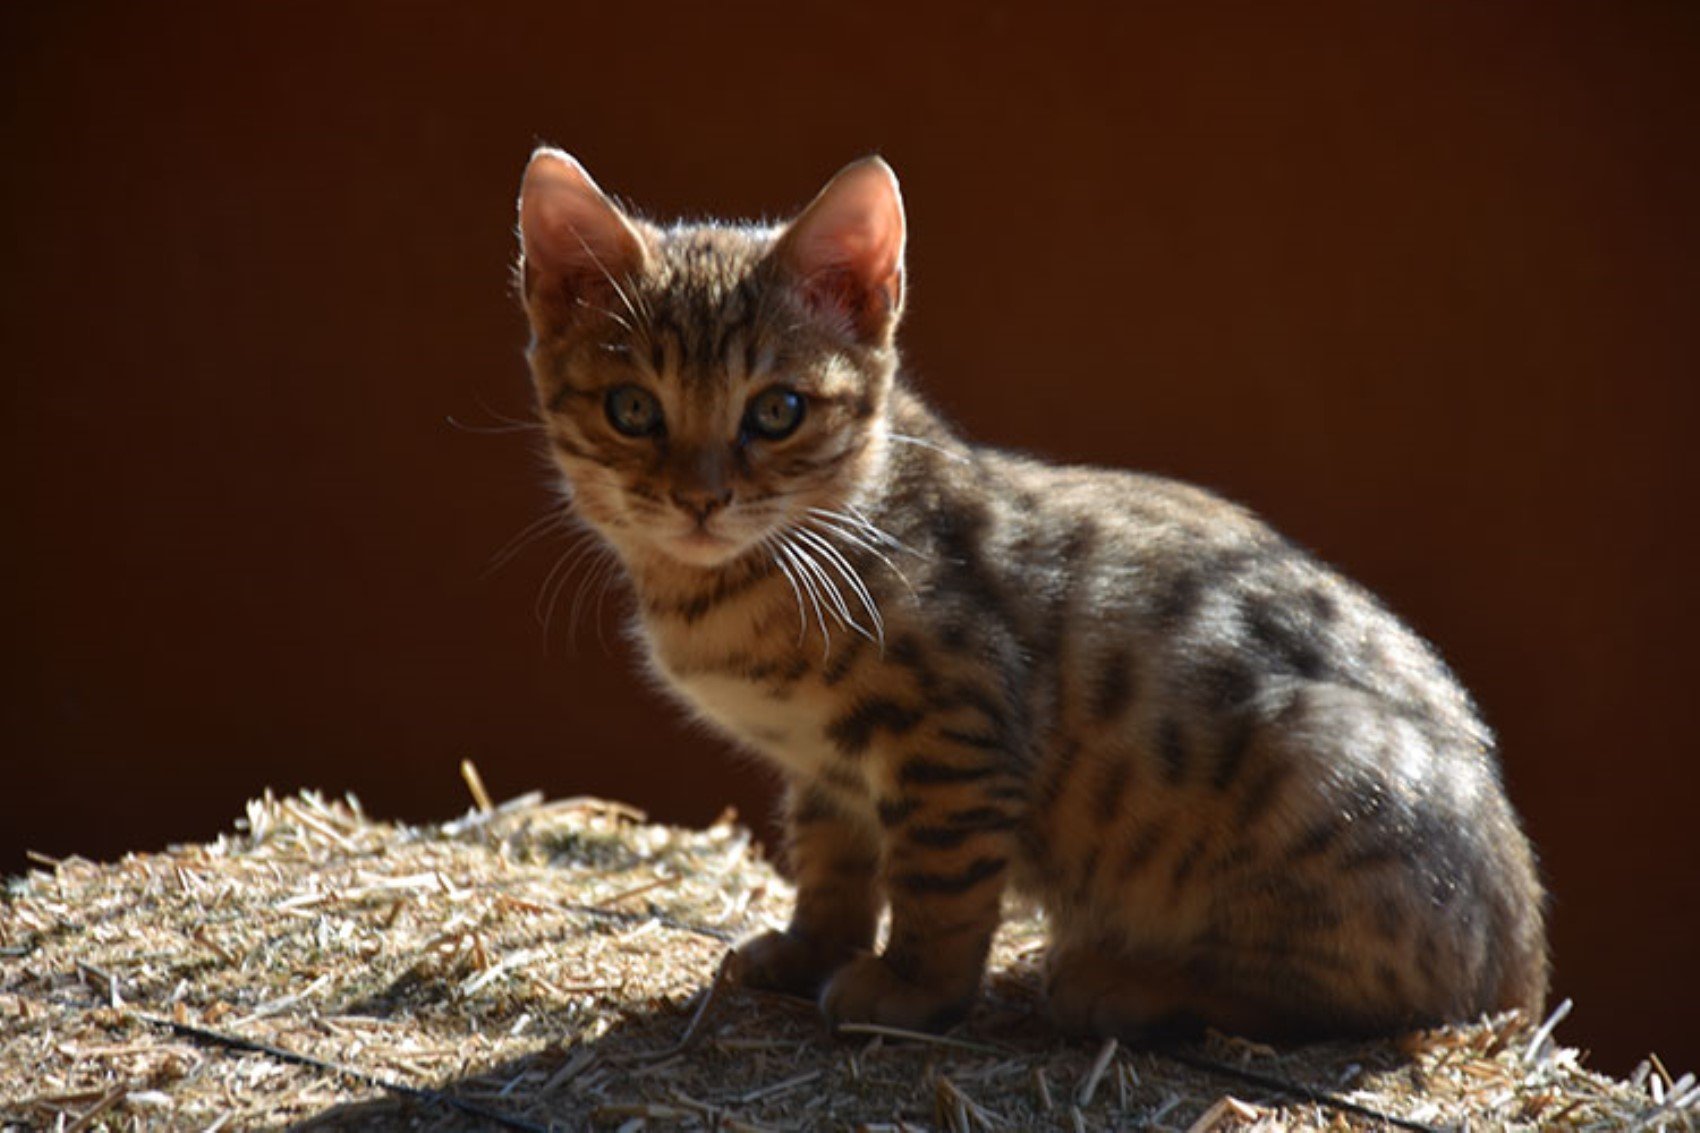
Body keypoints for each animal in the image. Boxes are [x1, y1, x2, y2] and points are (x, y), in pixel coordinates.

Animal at [510, 149, 1550, 1041]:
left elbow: (938, 884)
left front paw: (911, 988)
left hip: (1316, 772)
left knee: (1353, 996)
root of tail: (1522, 963)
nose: (700, 498)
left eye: (777, 410)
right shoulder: (829, 767)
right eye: (632, 409)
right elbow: (833, 862)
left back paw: (1125, 983)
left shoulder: (955, 732)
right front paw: (808, 949)